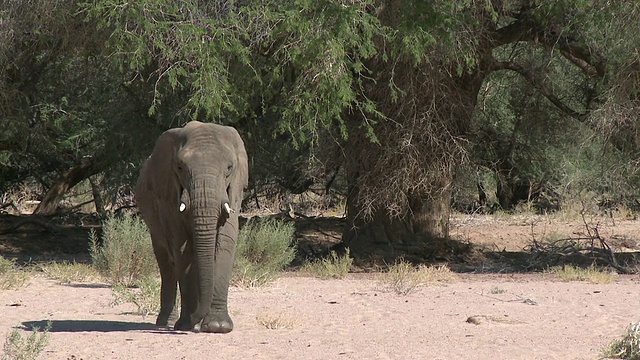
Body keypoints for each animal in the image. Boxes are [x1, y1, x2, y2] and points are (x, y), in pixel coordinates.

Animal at [136, 121, 249, 334]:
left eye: (229, 168)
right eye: (180, 167)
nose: (198, 322)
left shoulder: (234, 192)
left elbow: (225, 243)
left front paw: (217, 326)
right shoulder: (169, 196)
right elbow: (182, 248)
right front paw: (188, 324)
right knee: (167, 262)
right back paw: (167, 322)